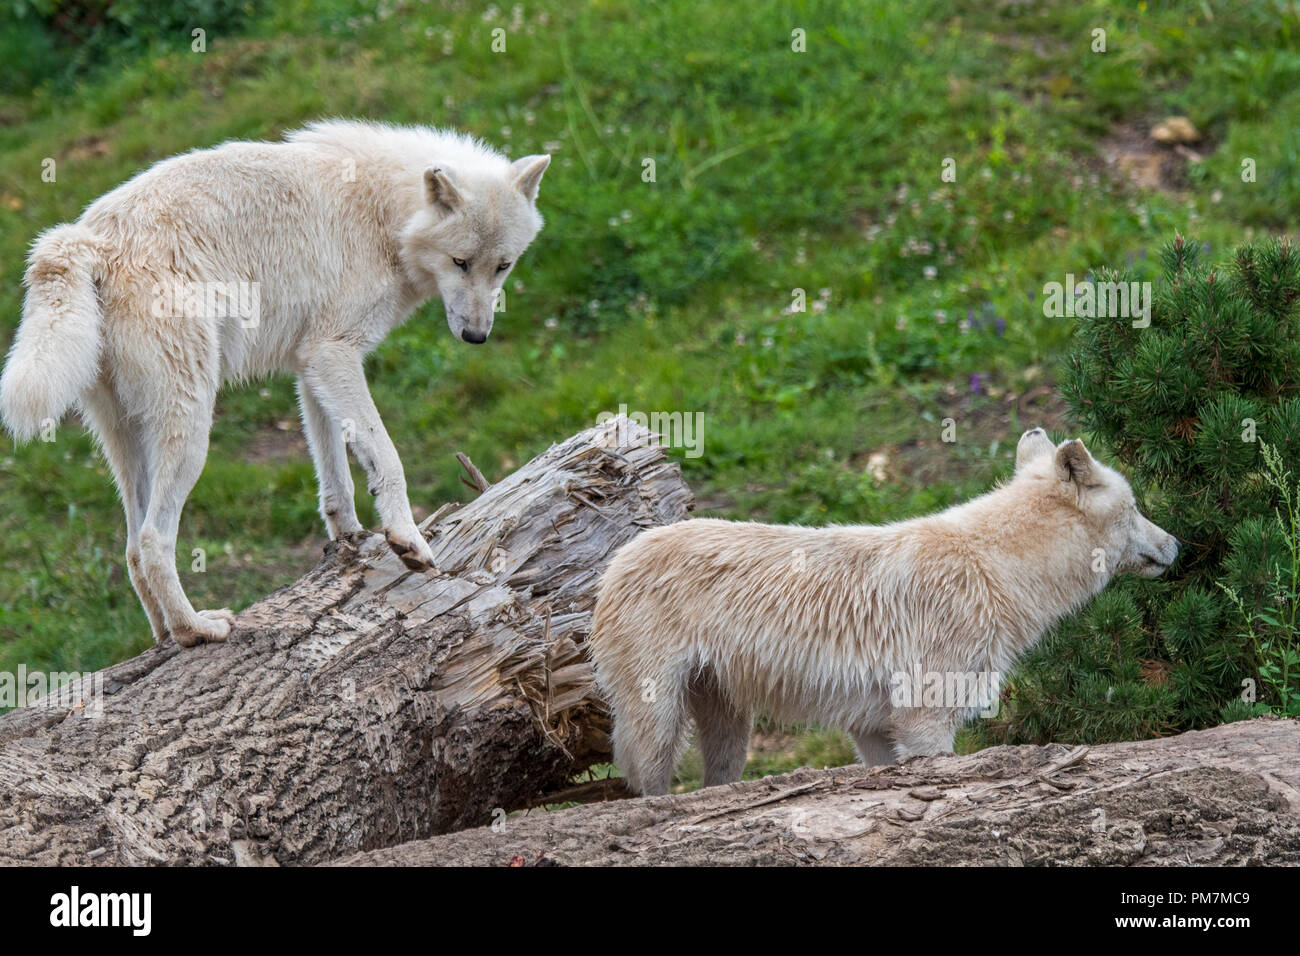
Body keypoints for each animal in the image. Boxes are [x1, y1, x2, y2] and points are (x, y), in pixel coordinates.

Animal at [0, 117, 548, 642]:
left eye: (503, 266)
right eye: (460, 262)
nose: (476, 336)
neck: (384, 214)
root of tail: (88, 238)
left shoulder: (311, 367)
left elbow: (336, 477)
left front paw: (351, 539)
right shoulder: (333, 354)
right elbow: (388, 459)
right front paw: (406, 540)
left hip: (128, 438)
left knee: (133, 549)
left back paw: (163, 638)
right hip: (191, 427)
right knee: (155, 541)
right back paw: (197, 630)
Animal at [595, 429, 1185, 796]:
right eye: (1136, 508)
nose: (1177, 545)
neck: (997, 570)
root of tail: (614, 562)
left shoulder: (876, 725)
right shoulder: (926, 714)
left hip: (726, 716)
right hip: (657, 713)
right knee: (648, 782)